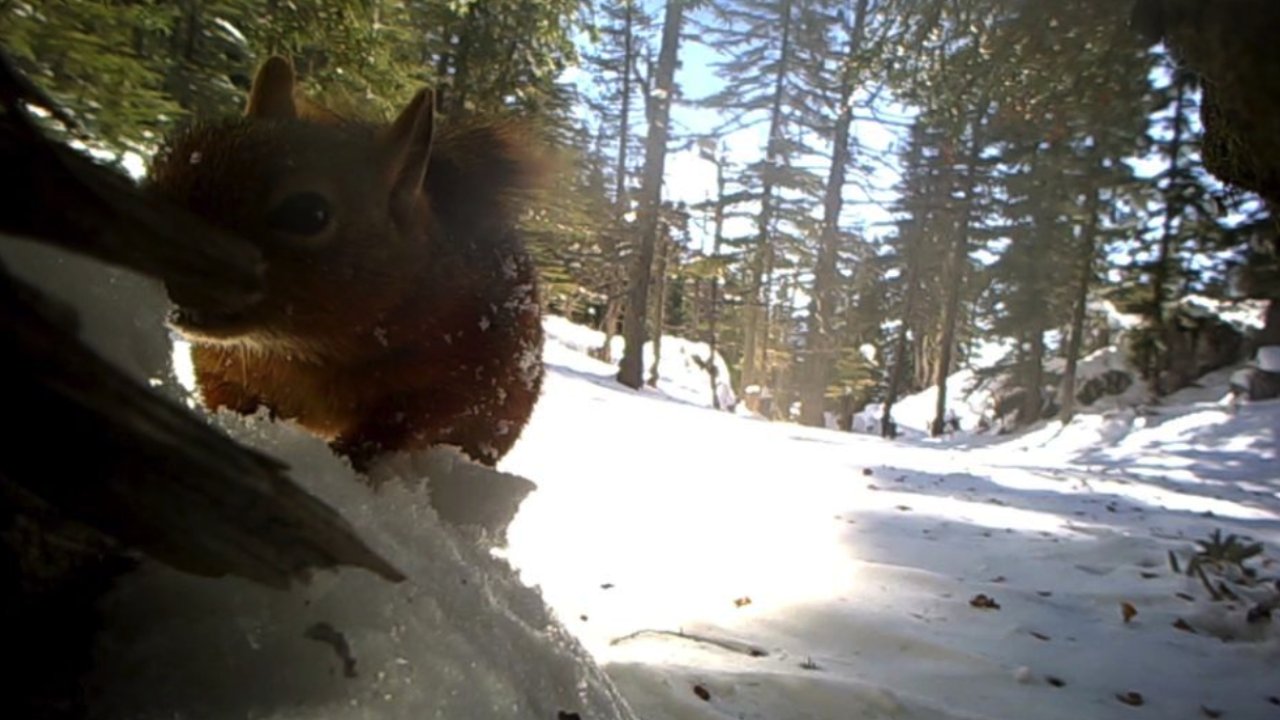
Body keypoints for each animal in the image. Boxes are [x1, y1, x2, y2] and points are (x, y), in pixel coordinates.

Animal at [147, 57, 547, 471]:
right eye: (159, 166)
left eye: (309, 214)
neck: (299, 352)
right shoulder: (220, 368)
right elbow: (227, 400)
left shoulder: (454, 378)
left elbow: (395, 429)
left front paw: (347, 460)